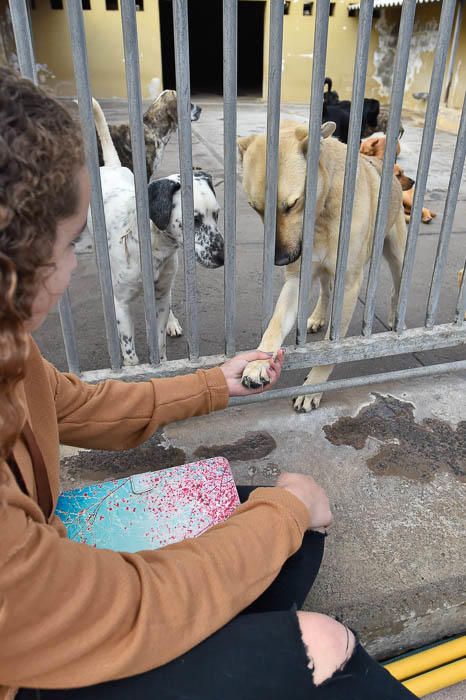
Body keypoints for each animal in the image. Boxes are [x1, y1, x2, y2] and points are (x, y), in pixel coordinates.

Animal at [90, 98, 225, 366]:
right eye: (193, 219)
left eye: (216, 214)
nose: (222, 258)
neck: (154, 248)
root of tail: (112, 166)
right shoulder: (122, 305)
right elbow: (130, 355)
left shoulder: (162, 296)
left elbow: (160, 343)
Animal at [238, 121, 406, 410]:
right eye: (256, 208)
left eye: (292, 204)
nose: (280, 260)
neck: (323, 209)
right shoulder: (297, 280)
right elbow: (274, 324)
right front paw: (258, 362)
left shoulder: (349, 287)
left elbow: (330, 348)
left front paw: (313, 386)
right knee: (326, 291)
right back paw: (317, 316)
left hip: (397, 256)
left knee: (397, 288)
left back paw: (395, 317)